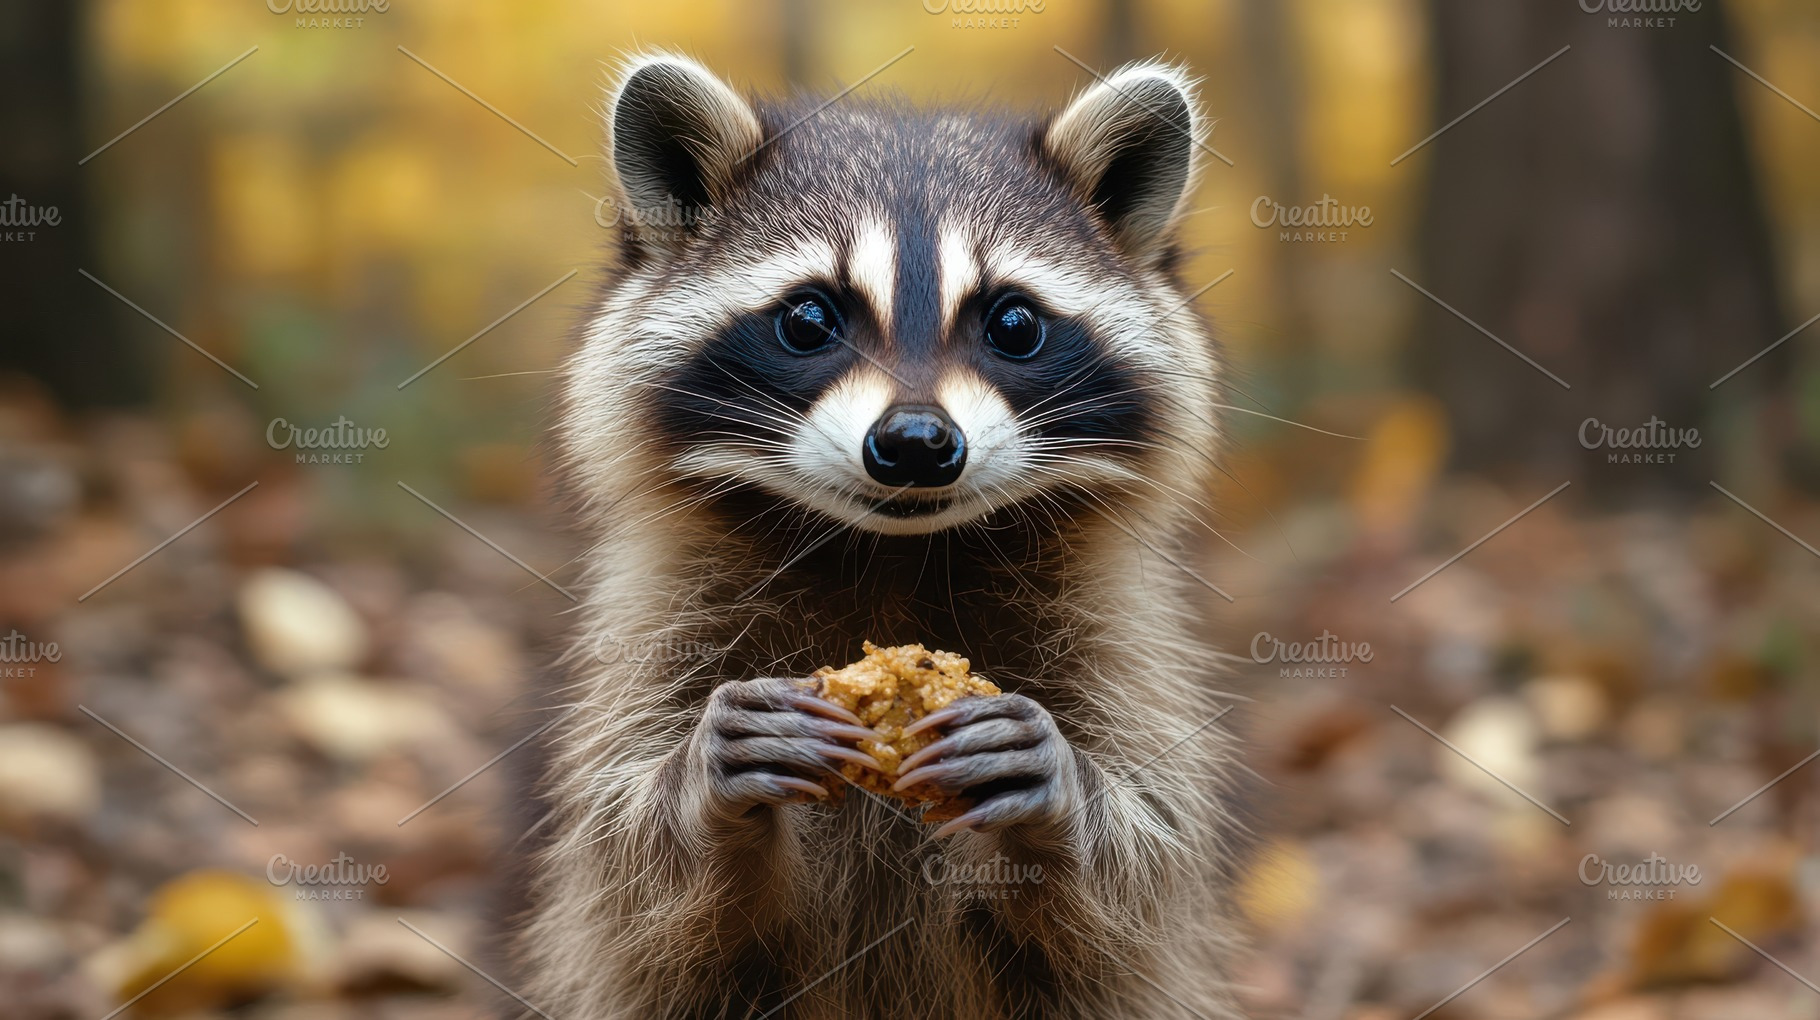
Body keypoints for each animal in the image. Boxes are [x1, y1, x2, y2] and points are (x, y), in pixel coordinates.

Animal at [520, 52, 1245, 1020]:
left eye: (1013, 323)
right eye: (808, 320)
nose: (916, 444)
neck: (892, 553)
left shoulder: (1117, 639)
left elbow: (1138, 874)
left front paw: (1064, 805)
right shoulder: (658, 630)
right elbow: (632, 878)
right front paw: (699, 797)